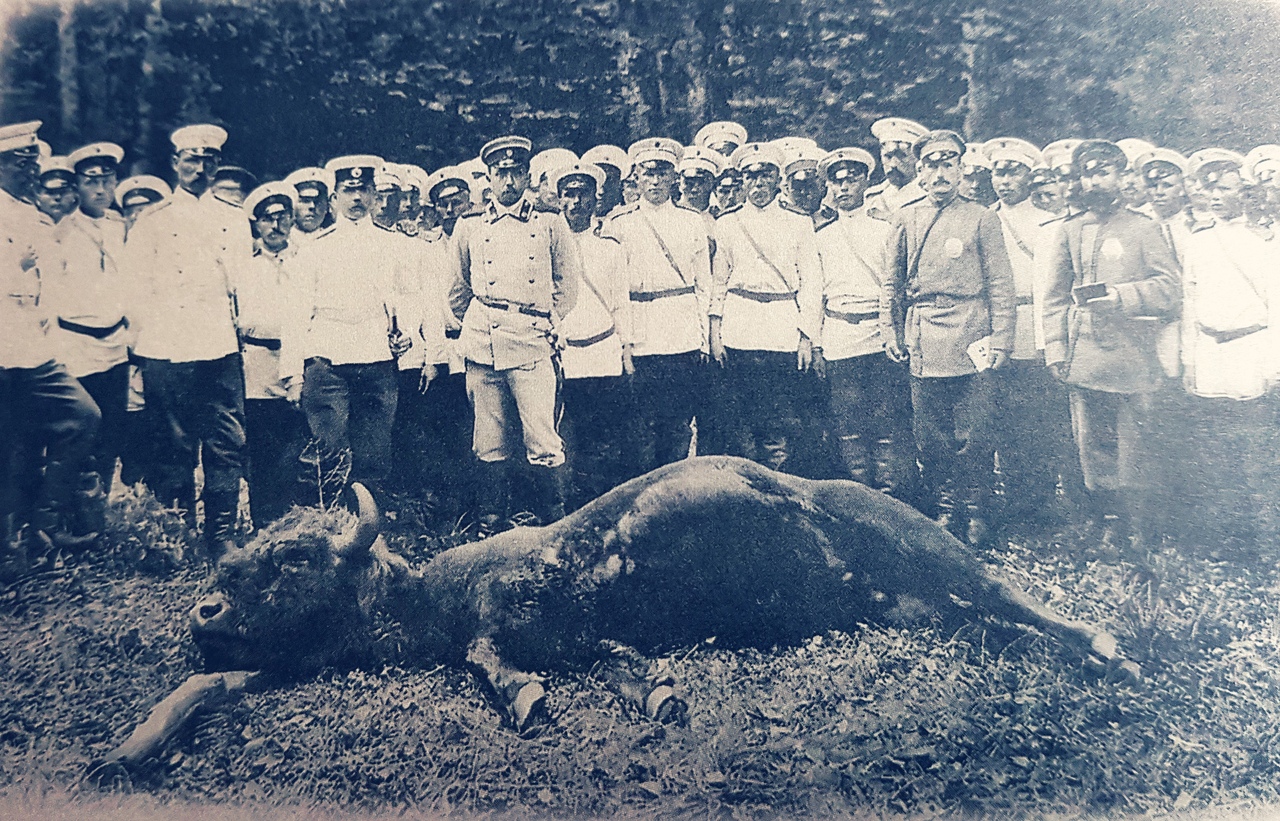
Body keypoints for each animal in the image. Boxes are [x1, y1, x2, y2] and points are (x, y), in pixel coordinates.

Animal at [186, 455, 1131, 727]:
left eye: (290, 561)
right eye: (240, 561)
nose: (206, 612)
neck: (435, 586)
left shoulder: (514, 604)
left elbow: (488, 656)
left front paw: (524, 696)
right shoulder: (585, 631)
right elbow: (614, 662)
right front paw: (661, 693)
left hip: (923, 543)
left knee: (1005, 590)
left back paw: (1109, 648)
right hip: (917, 596)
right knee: (982, 615)